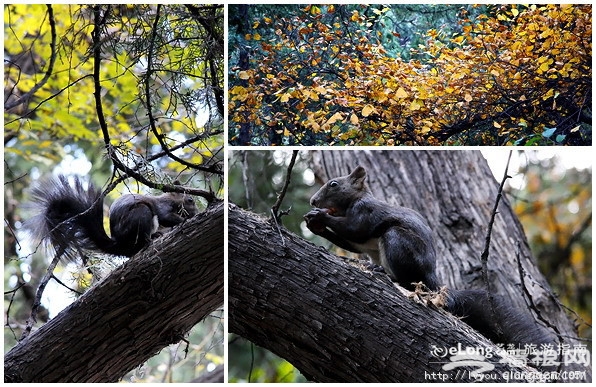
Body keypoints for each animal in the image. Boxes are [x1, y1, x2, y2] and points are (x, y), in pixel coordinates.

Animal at [26, 175, 198, 260]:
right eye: (190, 200)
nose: (196, 212)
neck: (170, 200)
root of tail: (120, 244)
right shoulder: (163, 207)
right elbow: (166, 217)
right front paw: (184, 220)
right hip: (141, 214)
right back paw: (149, 240)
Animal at [304, 166, 556, 348]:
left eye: (334, 184)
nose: (313, 201)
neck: (352, 203)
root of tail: (432, 279)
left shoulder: (365, 213)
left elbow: (354, 230)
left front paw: (320, 217)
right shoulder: (361, 242)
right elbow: (353, 243)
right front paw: (314, 224)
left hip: (397, 241)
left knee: (406, 279)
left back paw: (385, 273)